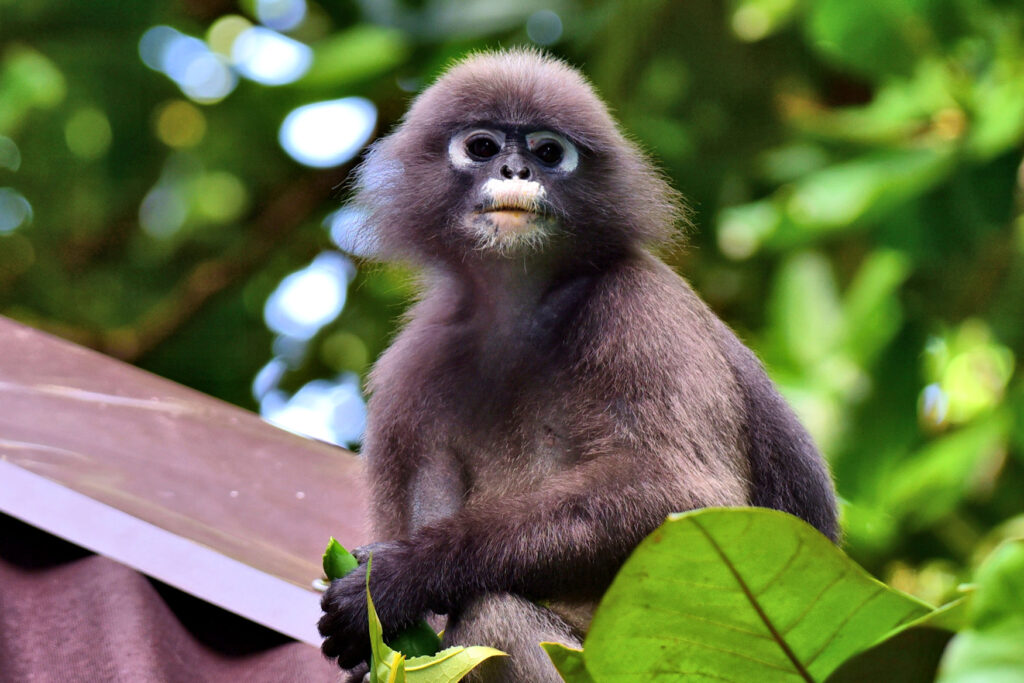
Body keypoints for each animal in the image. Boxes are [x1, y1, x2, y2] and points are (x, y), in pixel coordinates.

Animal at [318, 48, 838, 682]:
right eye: (482, 147)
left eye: (548, 152)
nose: (517, 171)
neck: (521, 311)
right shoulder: (410, 373)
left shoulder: (641, 306)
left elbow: (690, 495)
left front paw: (399, 576)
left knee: (494, 614)